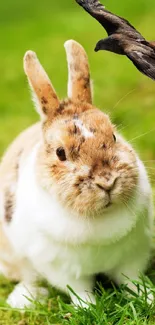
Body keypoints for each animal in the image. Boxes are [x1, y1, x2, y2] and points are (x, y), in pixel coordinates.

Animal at [0, 39, 153, 308]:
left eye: (114, 136)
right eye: (60, 153)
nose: (107, 181)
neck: (99, 217)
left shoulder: (133, 255)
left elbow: (133, 281)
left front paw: (150, 298)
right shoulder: (64, 270)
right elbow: (80, 291)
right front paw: (89, 307)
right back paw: (25, 298)